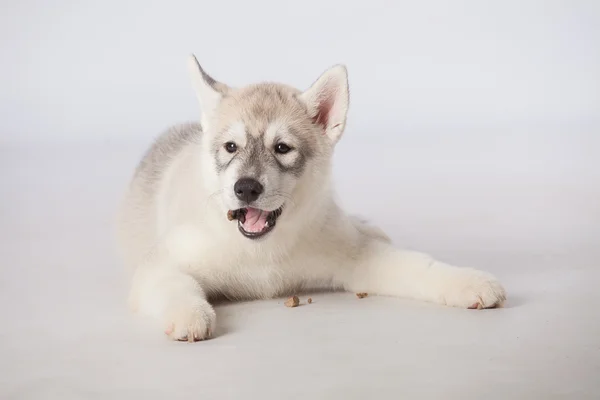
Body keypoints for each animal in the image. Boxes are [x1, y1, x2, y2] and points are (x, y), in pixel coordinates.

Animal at [115, 55, 504, 340]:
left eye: (282, 148)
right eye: (230, 147)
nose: (246, 188)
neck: (261, 254)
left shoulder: (358, 256)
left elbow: (417, 265)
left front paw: (468, 281)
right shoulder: (160, 263)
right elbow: (175, 283)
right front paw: (190, 313)